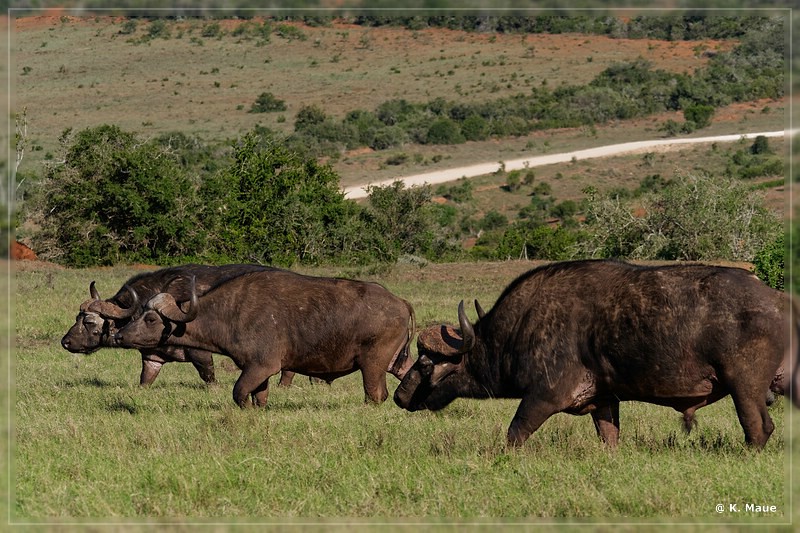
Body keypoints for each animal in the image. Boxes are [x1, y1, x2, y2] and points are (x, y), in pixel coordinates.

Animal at [60, 262, 272, 384]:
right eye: (77, 318)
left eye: (89, 322)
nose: (65, 342)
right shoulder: (152, 358)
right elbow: (145, 380)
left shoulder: (201, 355)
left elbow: (209, 379)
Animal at [113, 270, 416, 408]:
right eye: (141, 314)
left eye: (151, 319)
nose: (119, 335)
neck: (232, 313)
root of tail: (400, 302)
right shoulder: (259, 373)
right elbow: (259, 398)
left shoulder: (261, 366)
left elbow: (238, 393)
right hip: (394, 362)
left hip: (372, 366)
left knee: (375, 395)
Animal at [394, 260, 788, 446]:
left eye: (426, 363)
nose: (399, 396)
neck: (518, 329)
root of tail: (776, 300)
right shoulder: (603, 401)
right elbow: (609, 436)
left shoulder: (543, 396)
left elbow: (514, 433)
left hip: (744, 389)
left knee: (758, 429)